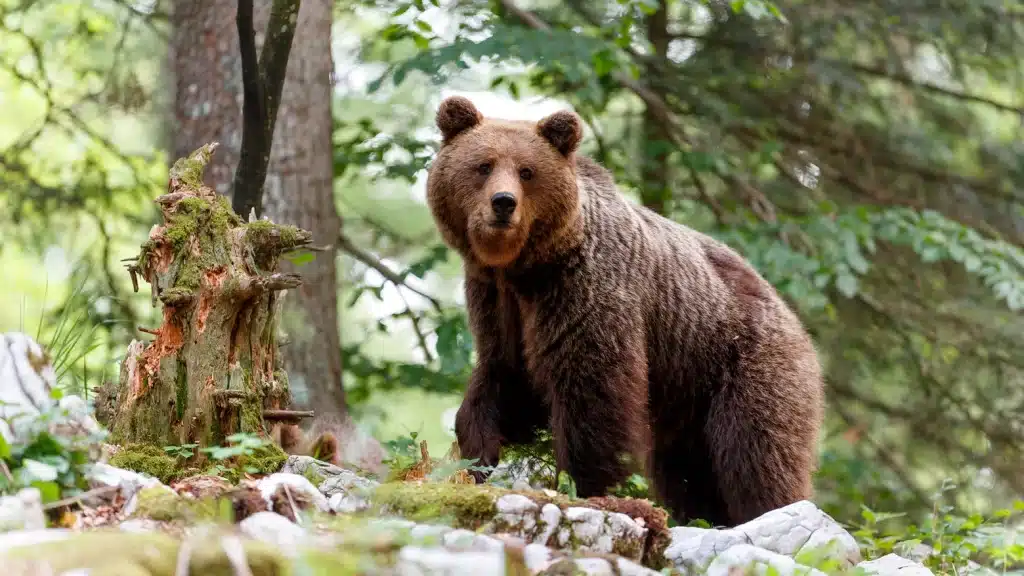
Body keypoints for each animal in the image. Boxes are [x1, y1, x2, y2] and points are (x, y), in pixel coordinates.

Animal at [425, 95, 825, 527]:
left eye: (526, 171)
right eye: (483, 165)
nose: (503, 203)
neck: (525, 266)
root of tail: (794, 318)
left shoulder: (583, 289)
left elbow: (594, 390)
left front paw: (587, 485)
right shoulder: (497, 301)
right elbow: (504, 376)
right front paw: (475, 451)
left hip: (745, 361)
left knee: (755, 452)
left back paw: (770, 508)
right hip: (689, 396)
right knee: (688, 470)